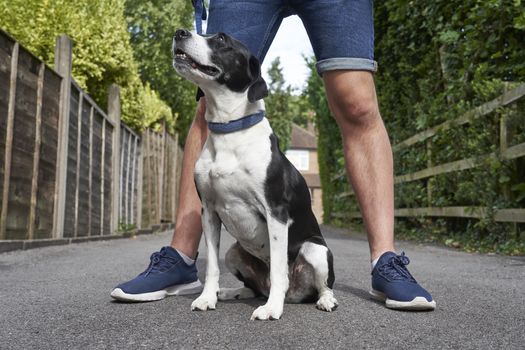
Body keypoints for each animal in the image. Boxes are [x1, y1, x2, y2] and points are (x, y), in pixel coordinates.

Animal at [172, 29, 336, 320]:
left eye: (222, 39)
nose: (179, 32)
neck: (229, 130)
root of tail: (296, 295)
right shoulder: (209, 212)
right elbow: (211, 266)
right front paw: (206, 298)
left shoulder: (275, 212)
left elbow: (279, 269)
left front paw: (271, 309)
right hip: (233, 252)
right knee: (254, 287)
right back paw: (229, 293)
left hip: (316, 249)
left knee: (321, 285)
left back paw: (323, 300)